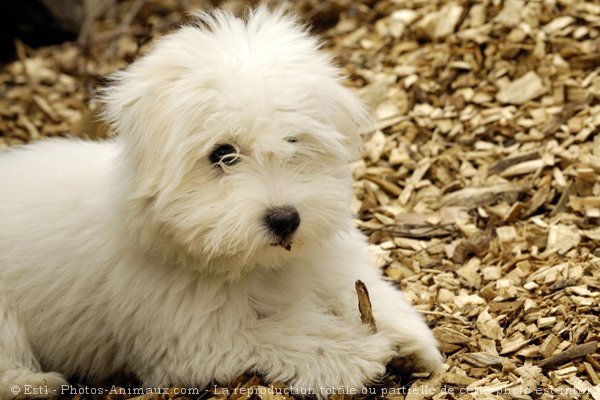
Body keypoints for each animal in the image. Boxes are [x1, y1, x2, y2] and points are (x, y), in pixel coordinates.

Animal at [0, 7, 440, 400]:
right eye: (223, 154)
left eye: (293, 141)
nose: (285, 220)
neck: (253, 264)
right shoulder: (193, 339)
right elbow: (286, 331)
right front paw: (359, 353)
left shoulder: (322, 264)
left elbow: (357, 289)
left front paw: (409, 339)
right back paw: (36, 383)